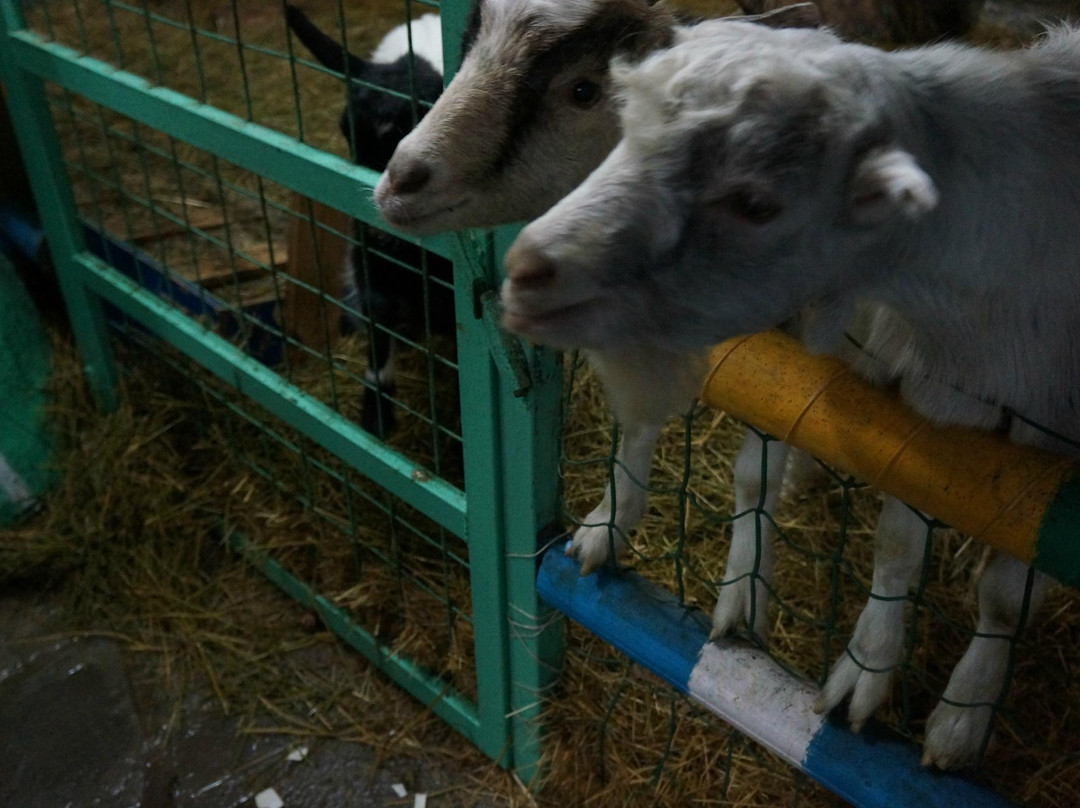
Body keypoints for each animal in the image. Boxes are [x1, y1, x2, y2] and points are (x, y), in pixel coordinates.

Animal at [373, 0, 823, 638]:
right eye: (471, 45)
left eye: (583, 90)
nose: (400, 180)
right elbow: (634, 417)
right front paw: (604, 530)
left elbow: (758, 465)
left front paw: (742, 600)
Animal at [501, 20, 1080, 768]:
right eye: (627, 131)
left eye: (756, 204)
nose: (525, 268)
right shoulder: (932, 416)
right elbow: (898, 540)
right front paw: (867, 671)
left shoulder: (1033, 446)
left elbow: (1006, 595)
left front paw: (961, 712)